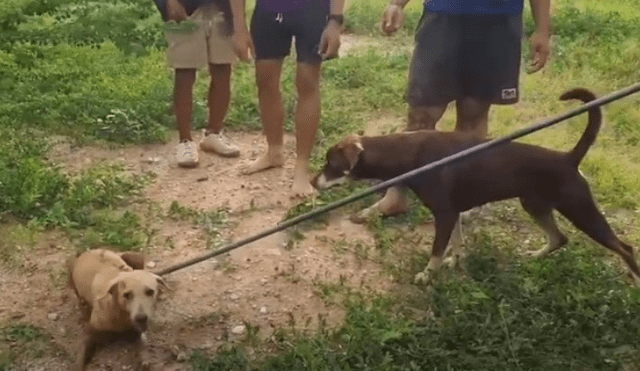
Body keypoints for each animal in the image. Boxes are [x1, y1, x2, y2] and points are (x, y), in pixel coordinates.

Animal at [312, 89, 640, 288]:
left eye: (330, 163)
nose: (313, 182)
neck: (409, 154)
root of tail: (569, 158)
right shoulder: (453, 212)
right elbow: (457, 243)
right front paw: (455, 262)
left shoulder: (444, 213)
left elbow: (436, 250)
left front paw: (427, 275)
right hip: (534, 204)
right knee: (560, 238)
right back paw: (533, 256)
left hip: (580, 209)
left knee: (624, 247)